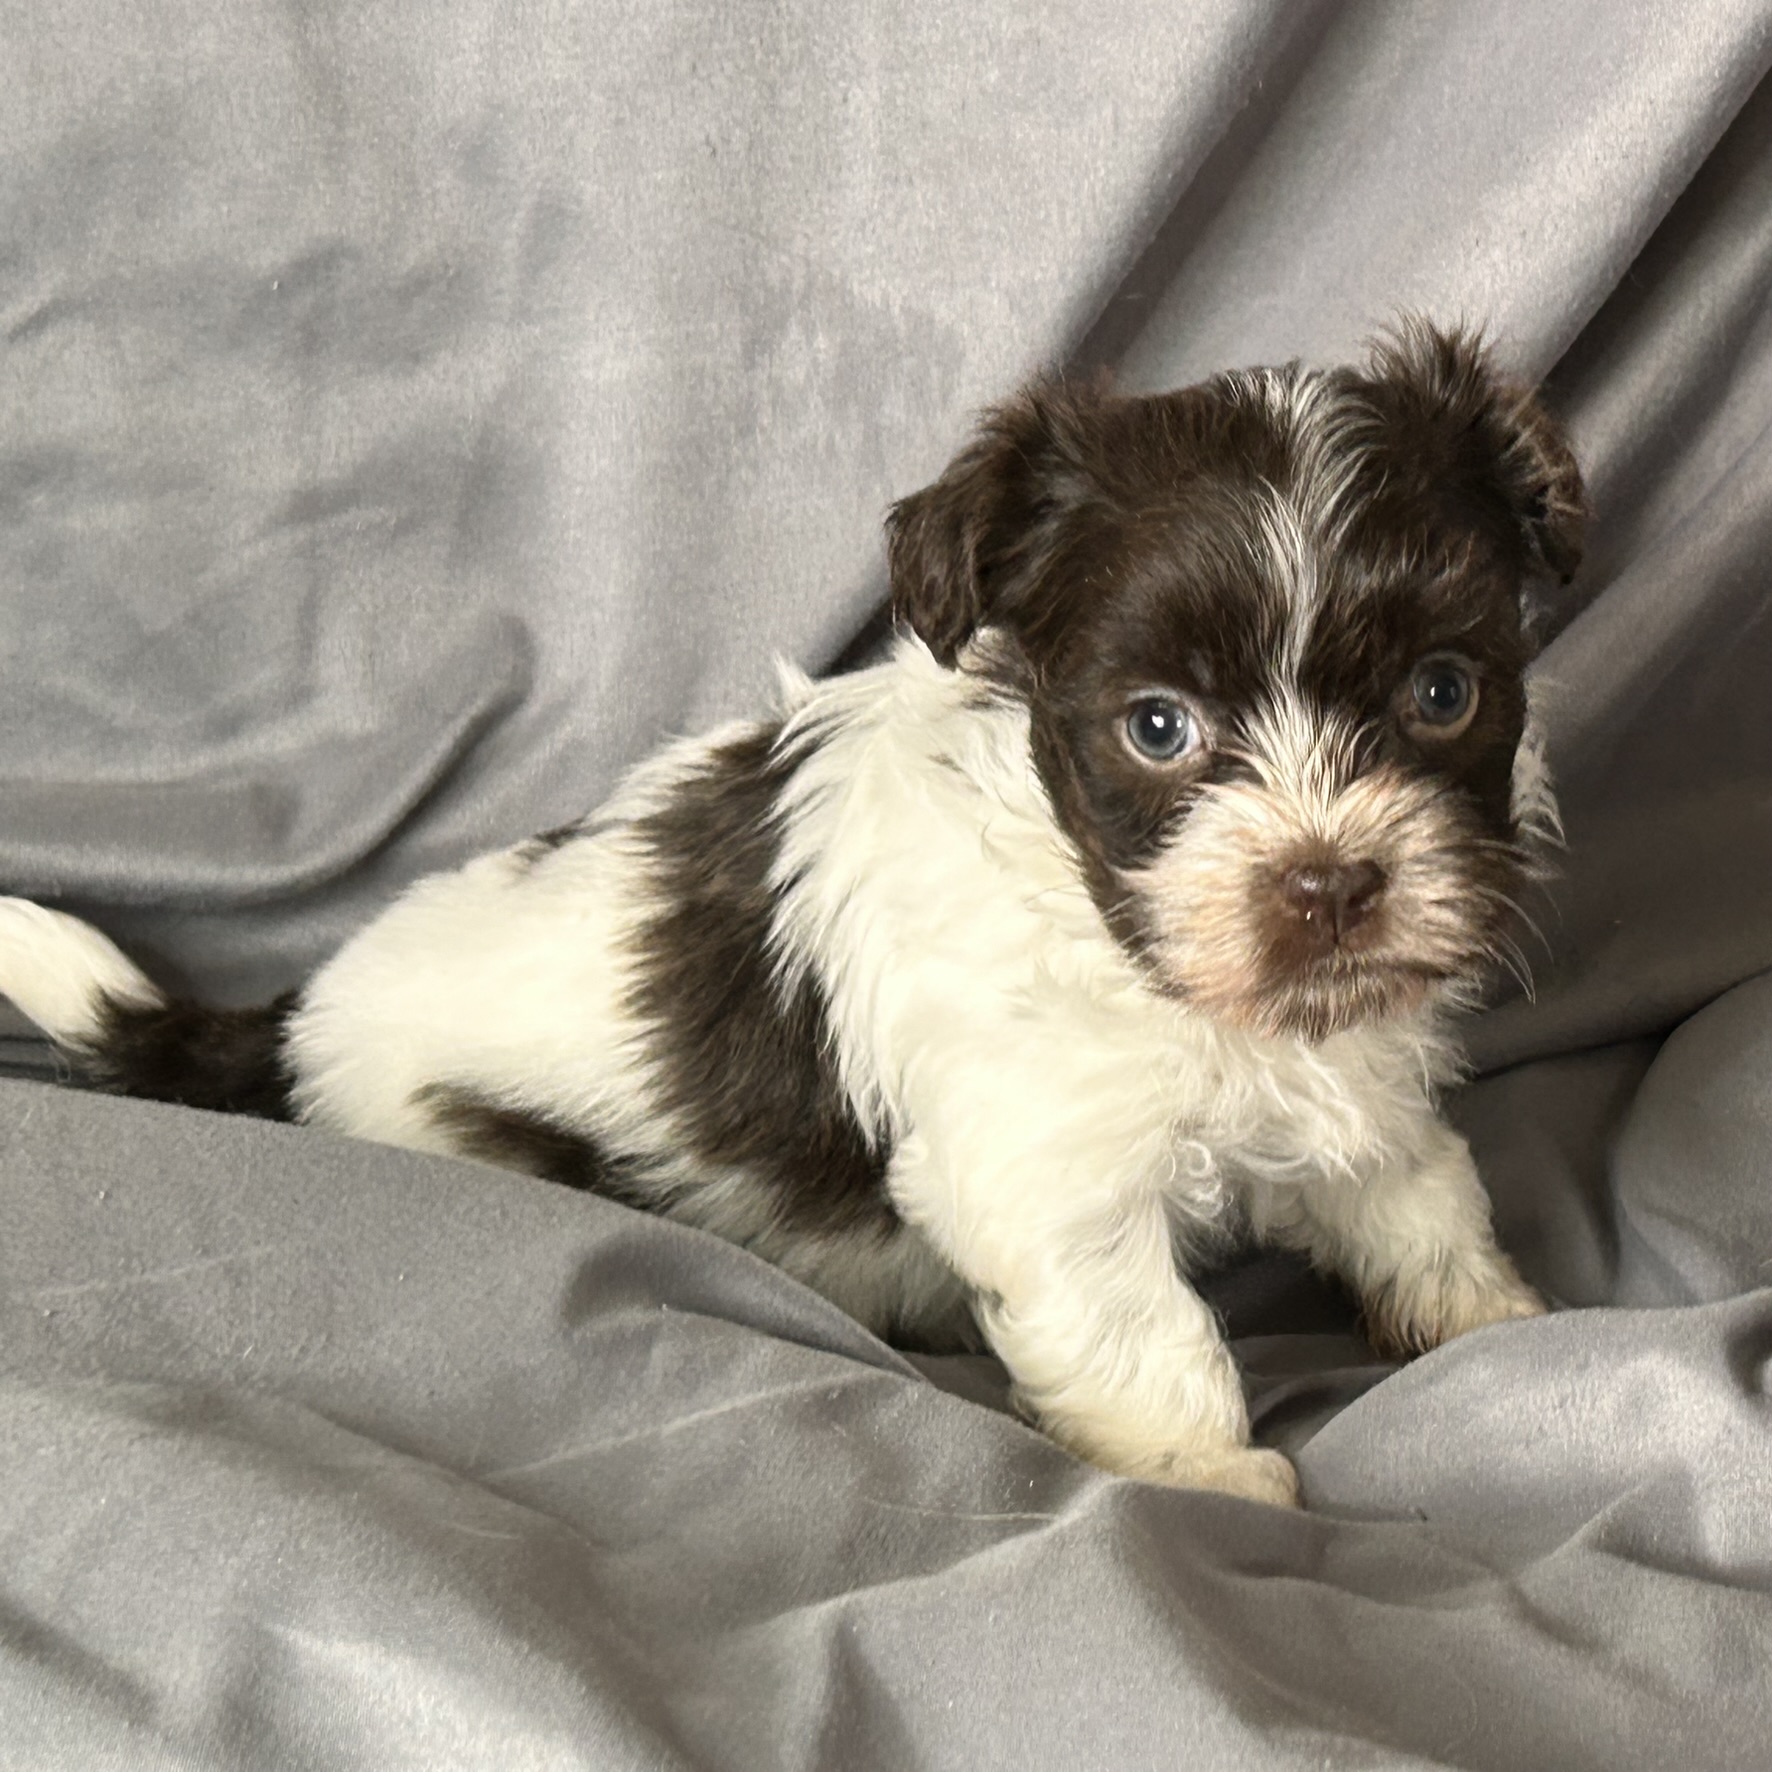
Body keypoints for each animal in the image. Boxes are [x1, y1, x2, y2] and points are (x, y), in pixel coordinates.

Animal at [0, 322, 1580, 1509]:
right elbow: (1141, 1328)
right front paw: (1208, 1473)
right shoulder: (1042, 1166)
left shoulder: (1346, 1064)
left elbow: (1413, 1189)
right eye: (1156, 726)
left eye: (1444, 693)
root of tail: (303, 1011)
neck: (1120, 932)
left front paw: (1492, 1324)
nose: (1328, 883)